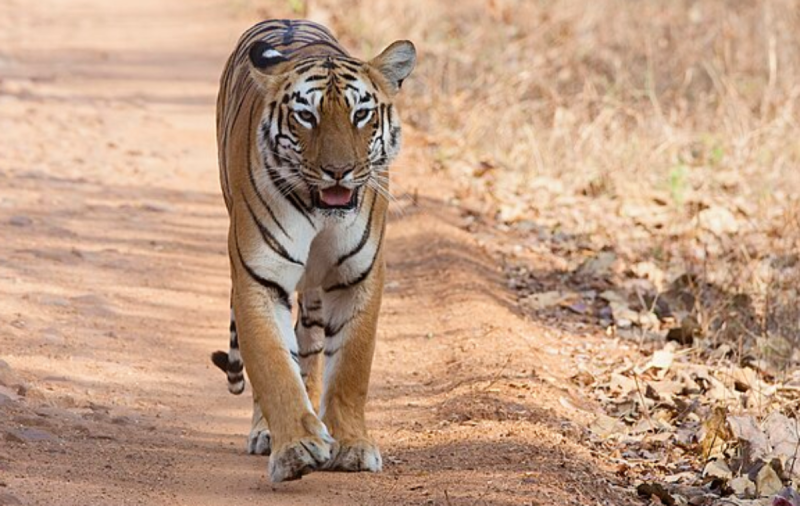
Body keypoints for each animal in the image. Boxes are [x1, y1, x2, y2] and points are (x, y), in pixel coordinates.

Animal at [209, 19, 415, 483]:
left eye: (361, 114)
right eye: (307, 115)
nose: (338, 171)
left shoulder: (358, 277)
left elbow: (351, 367)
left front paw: (352, 445)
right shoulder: (258, 277)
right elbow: (272, 365)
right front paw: (296, 448)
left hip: (317, 293)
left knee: (311, 347)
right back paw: (268, 432)